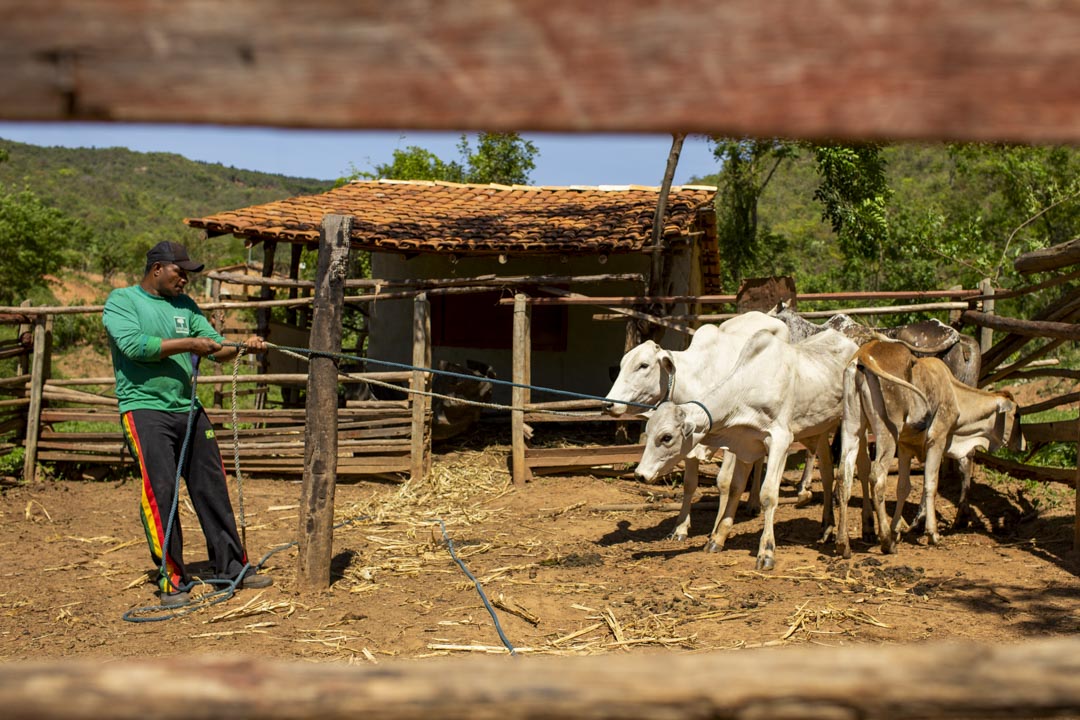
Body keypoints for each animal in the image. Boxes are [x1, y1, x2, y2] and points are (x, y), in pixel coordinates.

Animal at [604, 310, 790, 539]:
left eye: (643, 365)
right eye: (622, 366)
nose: (609, 404)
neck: (696, 378)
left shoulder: (733, 440)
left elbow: (725, 482)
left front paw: (717, 529)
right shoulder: (689, 441)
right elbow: (689, 483)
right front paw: (680, 527)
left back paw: (754, 503)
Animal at [635, 330, 855, 569]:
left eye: (666, 437)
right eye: (648, 431)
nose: (640, 474)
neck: (748, 388)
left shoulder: (780, 440)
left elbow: (768, 495)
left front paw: (766, 551)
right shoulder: (746, 445)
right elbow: (735, 488)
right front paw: (717, 539)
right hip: (820, 430)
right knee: (826, 472)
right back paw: (826, 526)